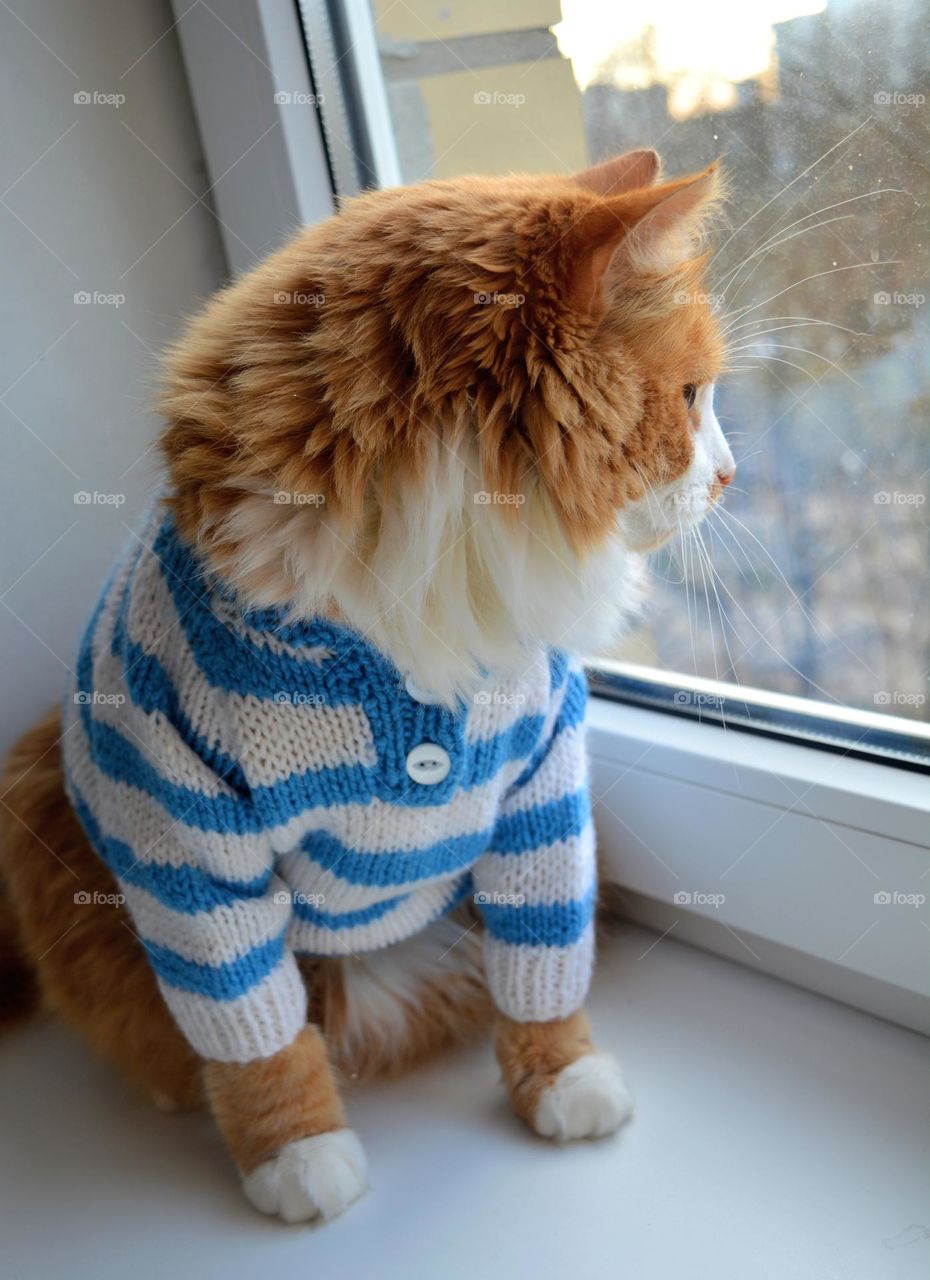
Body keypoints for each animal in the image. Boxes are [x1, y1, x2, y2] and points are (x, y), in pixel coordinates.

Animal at [0, 145, 736, 1223]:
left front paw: (562, 1079)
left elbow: (544, 965)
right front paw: (297, 1155)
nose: (730, 475)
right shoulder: (183, 838)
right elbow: (258, 1035)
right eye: (690, 398)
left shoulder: (543, 787)